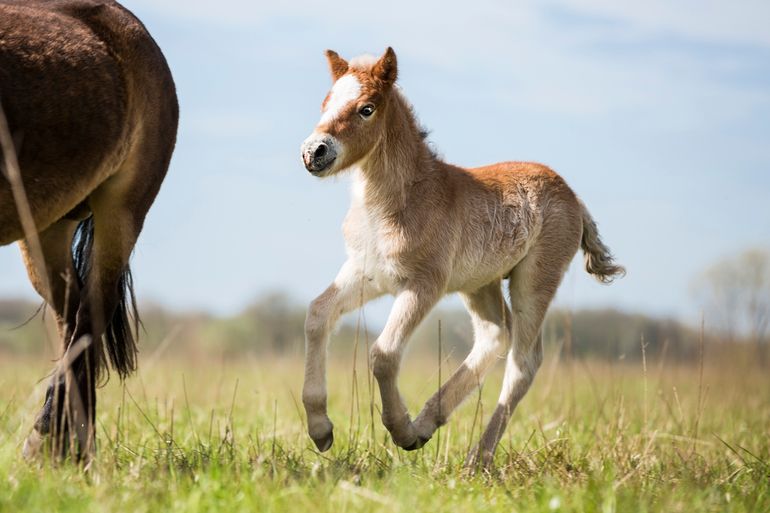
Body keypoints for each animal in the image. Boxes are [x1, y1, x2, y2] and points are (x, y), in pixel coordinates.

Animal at [0, 0, 177, 462]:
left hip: (122, 209)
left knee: (89, 313)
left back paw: (50, 442)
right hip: (46, 228)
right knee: (72, 317)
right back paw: (72, 444)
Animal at [300, 48, 624, 468]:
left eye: (366, 109)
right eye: (325, 103)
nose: (314, 152)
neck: (396, 202)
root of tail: (574, 197)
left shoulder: (424, 284)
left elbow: (383, 354)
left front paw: (401, 431)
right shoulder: (366, 273)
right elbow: (318, 315)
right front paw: (320, 428)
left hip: (535, 280)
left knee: (523, 362)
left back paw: (475, 458)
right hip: (480, 283)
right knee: (495, 335)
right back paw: (429, 424)